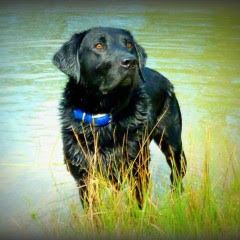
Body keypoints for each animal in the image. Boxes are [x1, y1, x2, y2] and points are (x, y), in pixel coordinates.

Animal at [53, 26, 187, 208]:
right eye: (99, 46)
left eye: (129, 44)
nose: (131, 61)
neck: (103, 116)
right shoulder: (84, 176)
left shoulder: (138, 169)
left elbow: (137, 205)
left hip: (172, 143)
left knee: (177, 173)